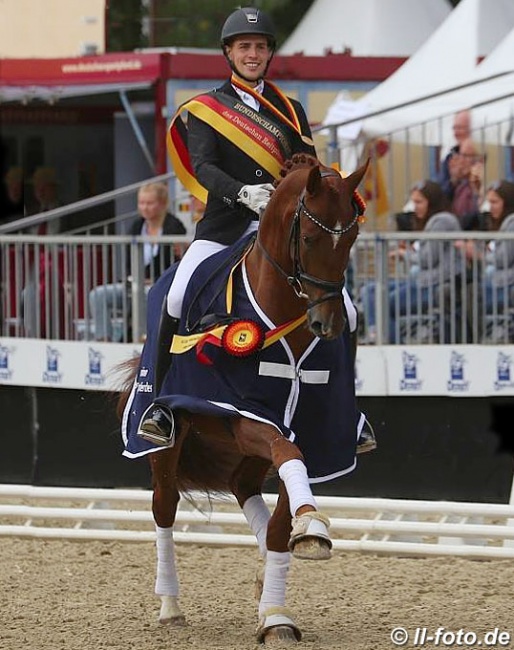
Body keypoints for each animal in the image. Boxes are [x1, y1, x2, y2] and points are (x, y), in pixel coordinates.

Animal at [119, 154, 368, 640]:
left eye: (351, 238)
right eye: (309, 238)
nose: (327, 324)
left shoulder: (309, 427)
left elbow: (284, 500)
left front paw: (276, 610)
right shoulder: (245, 414)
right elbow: (288, 457)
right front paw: (309, 526)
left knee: (243, 488)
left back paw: (262, 579)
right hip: (168, 442)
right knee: (164, 506)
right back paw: (170, 605)